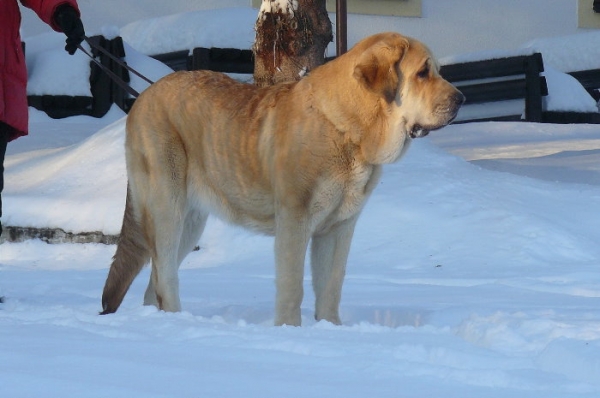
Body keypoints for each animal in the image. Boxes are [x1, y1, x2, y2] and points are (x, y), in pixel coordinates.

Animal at [101, 32, 464, 324]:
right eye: (422, 72)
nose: (461, 98)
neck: (346, 129)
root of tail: (141, 99)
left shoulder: (338, 228)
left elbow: (331, 288)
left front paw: (330, 330)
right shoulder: (294, 222)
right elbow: (292, 288)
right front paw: (290, 331)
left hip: (190, 222)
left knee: (155, 281)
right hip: (168, 209)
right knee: (164, 276)